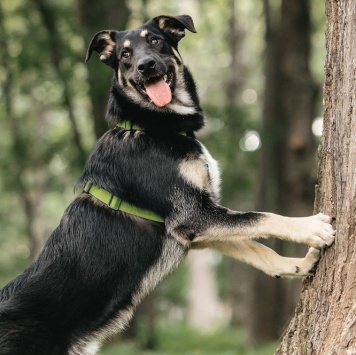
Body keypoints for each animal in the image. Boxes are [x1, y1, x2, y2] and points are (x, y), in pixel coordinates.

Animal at [0, 14, 336, 355]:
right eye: (125, 54)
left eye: (155, 41)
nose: (146, 65)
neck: (151, 127)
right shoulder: (193, 215)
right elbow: (262, 217)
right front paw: (311, 228)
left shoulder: (194, 229)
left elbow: (258, 249)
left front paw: (298, 265)